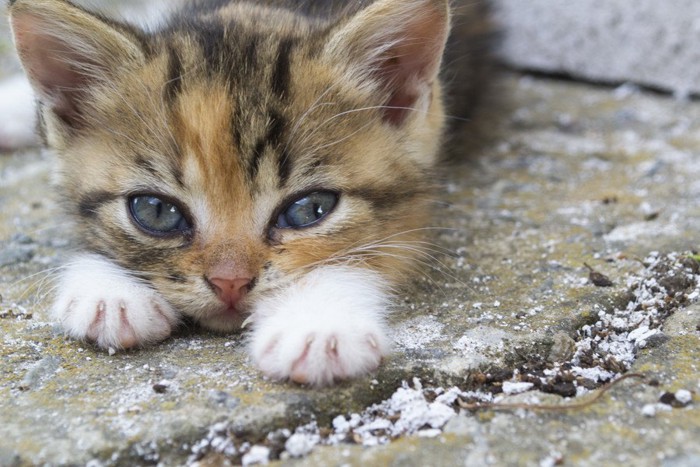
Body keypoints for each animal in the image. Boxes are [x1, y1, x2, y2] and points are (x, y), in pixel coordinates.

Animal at [9, 0, 492, 386]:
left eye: (309, 210)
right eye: (156, 211)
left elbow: (372, 255)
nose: (230, 283)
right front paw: (108, 293)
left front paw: (317, 324)